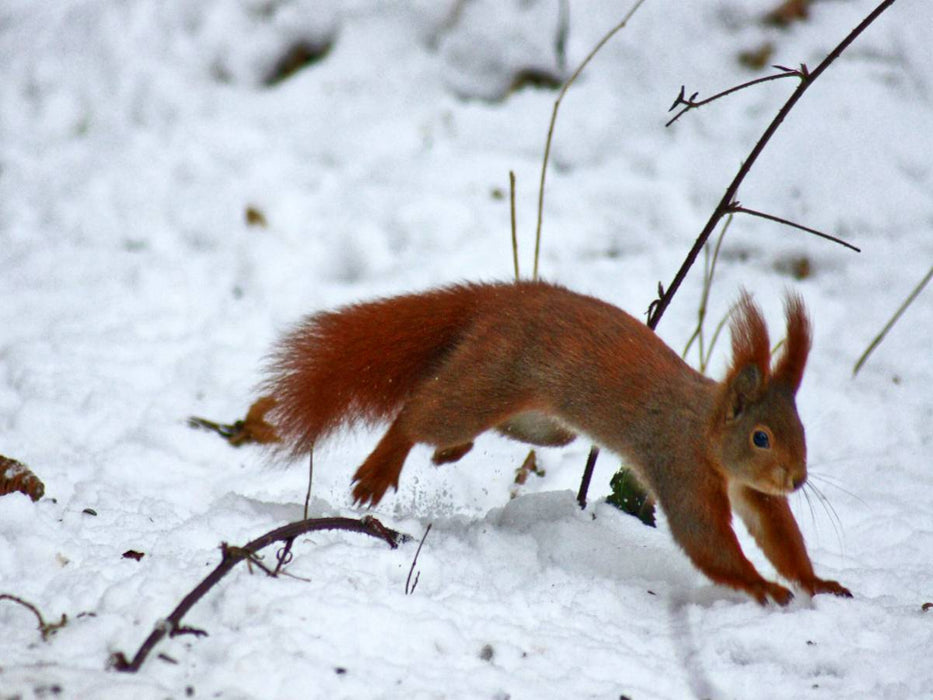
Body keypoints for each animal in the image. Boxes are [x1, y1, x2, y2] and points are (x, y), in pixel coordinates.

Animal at [253, 280, 851, 605]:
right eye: (760, 437)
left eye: (800, 428)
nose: (797, 478)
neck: (705, 430)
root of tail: (505, 300)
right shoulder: (679, 463)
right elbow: (706, 540)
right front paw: (761, 588)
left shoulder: (752, 492)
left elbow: (776, 532)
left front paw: (816, 582)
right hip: (492, 379)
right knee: (421, 414)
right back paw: (382, 469)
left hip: (542, 422)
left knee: (471, 424)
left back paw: (450, 453)